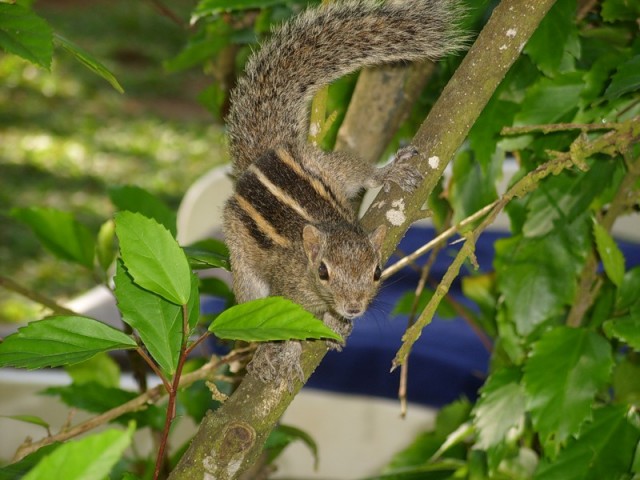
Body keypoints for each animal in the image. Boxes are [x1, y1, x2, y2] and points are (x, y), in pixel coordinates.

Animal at [222, 0, 462, 382]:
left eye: (377, 272)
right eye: (323, 271)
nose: (352, 308)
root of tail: (263, 156)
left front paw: (335, 326)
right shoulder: (287, 293)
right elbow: (286, 327)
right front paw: (287, 353)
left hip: (330, 167)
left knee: (360, 174)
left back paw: (389, 171)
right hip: (241, 258)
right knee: (251, 300)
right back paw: (263, 356)